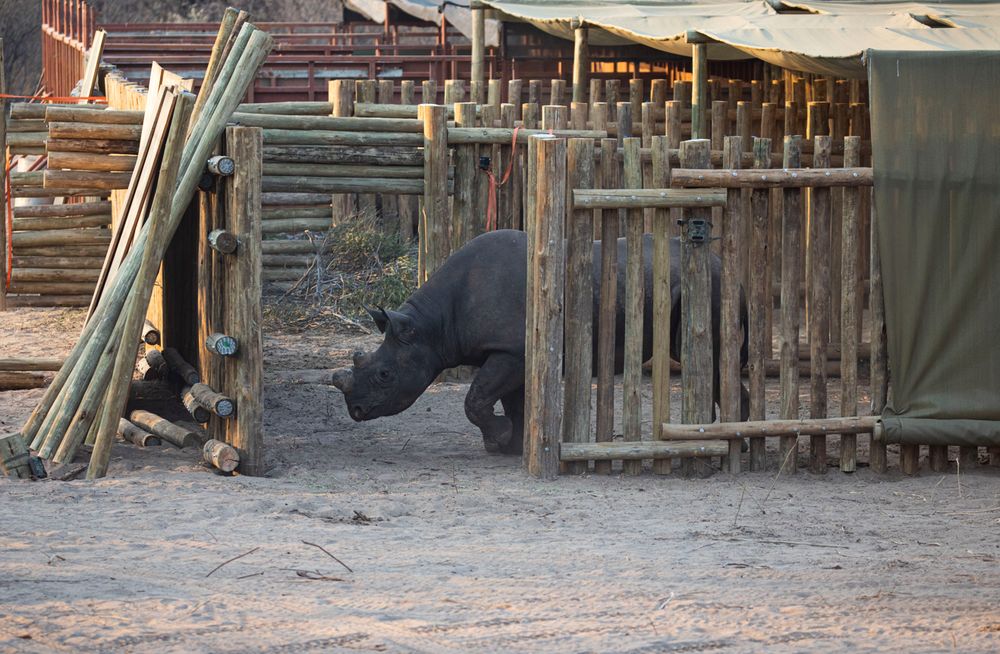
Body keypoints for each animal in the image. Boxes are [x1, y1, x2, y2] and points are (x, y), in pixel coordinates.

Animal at [331, 229, 749, 455]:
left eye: (384, 375)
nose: (355, 411)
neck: (431, 326)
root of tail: (719, 262)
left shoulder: (510, 349)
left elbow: (476, 399)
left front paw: (501, 440)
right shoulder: (511, 351)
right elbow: (510, 401)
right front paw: (510, 445)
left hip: (707, 286)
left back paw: (739, 444)